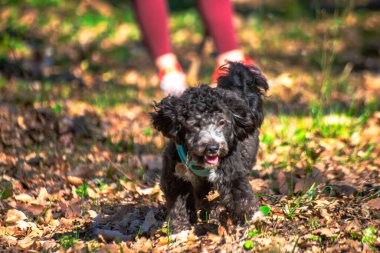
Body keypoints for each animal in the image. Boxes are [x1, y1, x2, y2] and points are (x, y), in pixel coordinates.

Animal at [150, 62, 268, 232]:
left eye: (222, 122)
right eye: (195, 125)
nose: (213, 147)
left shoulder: (231, 172)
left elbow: (241, 196)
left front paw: (252, 219)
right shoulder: (175, 177)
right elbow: (178, 204)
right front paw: (180, 230)